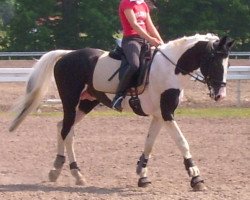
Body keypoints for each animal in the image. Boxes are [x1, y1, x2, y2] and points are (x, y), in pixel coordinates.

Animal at [8, 33, 234, 191]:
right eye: (214, 61)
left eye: (228, 63)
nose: (220, 95)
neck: (170, 69)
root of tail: (67, 55)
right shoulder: (167, 113)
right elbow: (182, 142)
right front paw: (196, 177)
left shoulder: (159, 115)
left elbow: (149, 143)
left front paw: (142, 175)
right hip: (70, 101)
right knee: (66, 131)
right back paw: (70, 172)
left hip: (87, 103)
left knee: (63, 128)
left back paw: (61, 169)